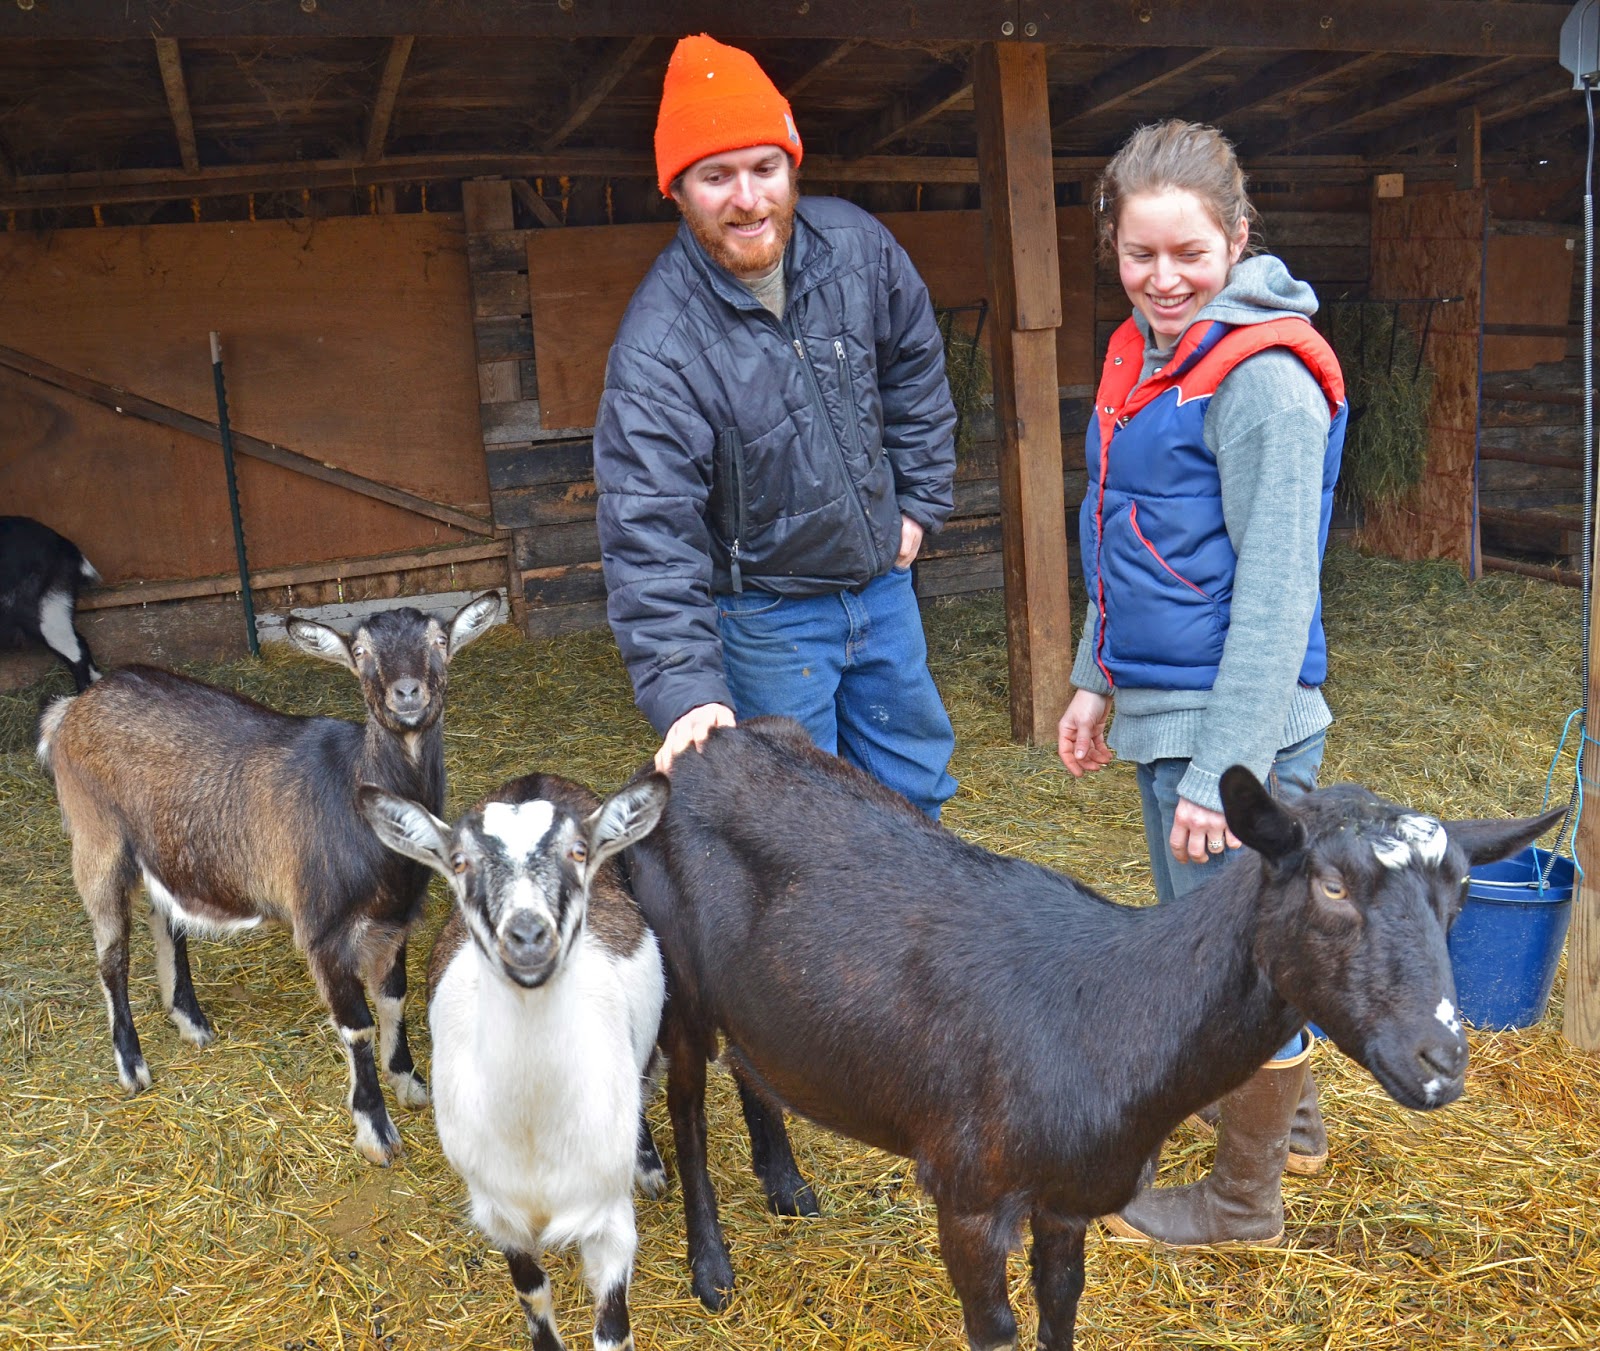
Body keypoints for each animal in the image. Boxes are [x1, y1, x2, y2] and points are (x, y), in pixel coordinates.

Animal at [35, 592, 502, 1165]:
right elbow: (357, 1026)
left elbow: (394, 997)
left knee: (165, 919)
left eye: (439, 640)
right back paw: (132, 1065)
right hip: (96, 838)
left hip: (162, 850)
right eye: (362, 651)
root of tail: (70, 709)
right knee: (112, 954)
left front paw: (410, 1082)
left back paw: (190, 1021)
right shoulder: (323, 931)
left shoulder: (394, 920)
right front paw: (376, 1132)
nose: (407, 692)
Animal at [359, 769, 671, 1351]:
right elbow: (533, 1296)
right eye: (459, 861)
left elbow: (613, 1327)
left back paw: (650, 1166)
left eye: (578, 852)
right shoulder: (498, 1210)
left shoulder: (609, 1217)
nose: (527, 936)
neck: (534, 1130)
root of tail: (537, 778)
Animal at [624, 716, 1562, 1351]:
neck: (1109, 1014)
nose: (1439, 1061)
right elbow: (999, 1328)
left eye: (1461, 893)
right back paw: (711, 1266)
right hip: (678, 976)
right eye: (1330, 884)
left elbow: (1061, 1311)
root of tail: (695, 746)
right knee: (685, 1108)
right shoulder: (967, 1195)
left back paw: (785, 1182)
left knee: (753, 1064)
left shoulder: (1070, 1195)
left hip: (763, 994)